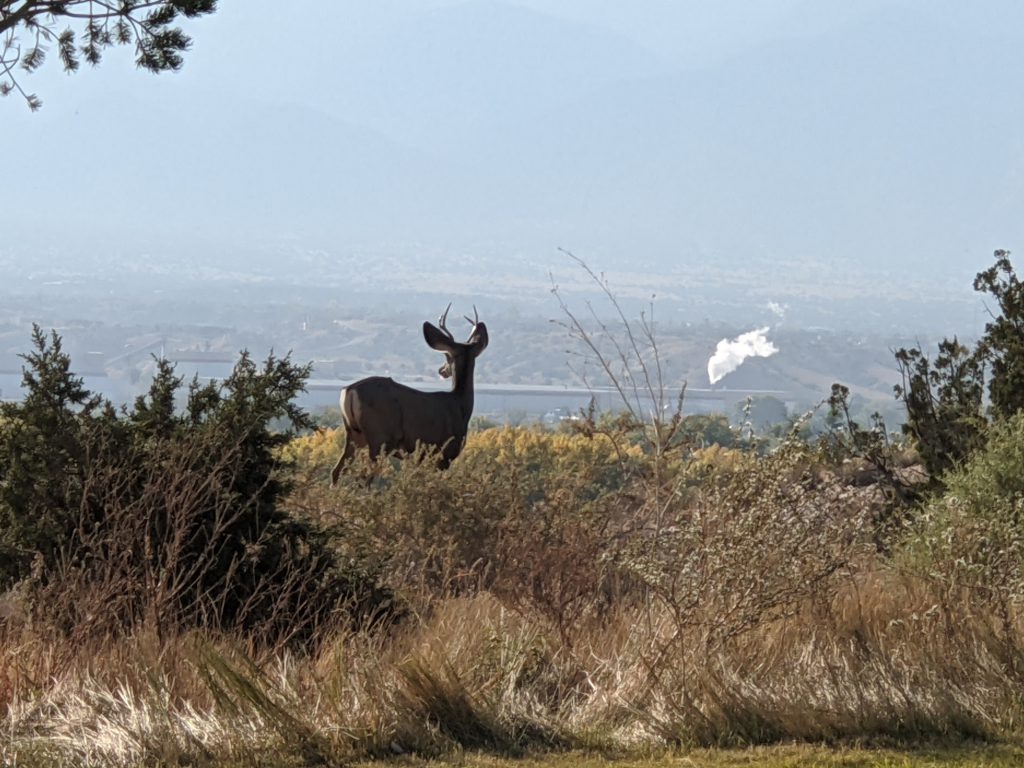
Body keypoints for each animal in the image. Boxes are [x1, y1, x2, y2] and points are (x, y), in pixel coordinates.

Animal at [329, 303, 485, 483]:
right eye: (447, 355)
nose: (442, 371)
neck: (459, 405)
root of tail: (349, 390)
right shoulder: (444, 454)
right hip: (379, 437)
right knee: (364, 477)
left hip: (354, 434)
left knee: (337, 470)